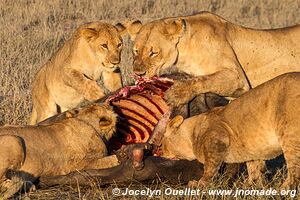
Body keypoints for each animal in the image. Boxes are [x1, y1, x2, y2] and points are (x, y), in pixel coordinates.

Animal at [122, 11, 300, 106]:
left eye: (153, 52)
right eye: (135, 51)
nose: (138, 73)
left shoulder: (237, 77)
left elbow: (203, 79)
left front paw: (176, 94)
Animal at [161, 72, 300, 188]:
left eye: (162, 144)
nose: (160, 152)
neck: (192, 134)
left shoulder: (218, 139)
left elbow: (210, 169)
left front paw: (199, 184)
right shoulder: (252, 153)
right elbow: (255, 170)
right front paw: (252, 187)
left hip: (289, 135)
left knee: (295, 171)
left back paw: (282, 190)